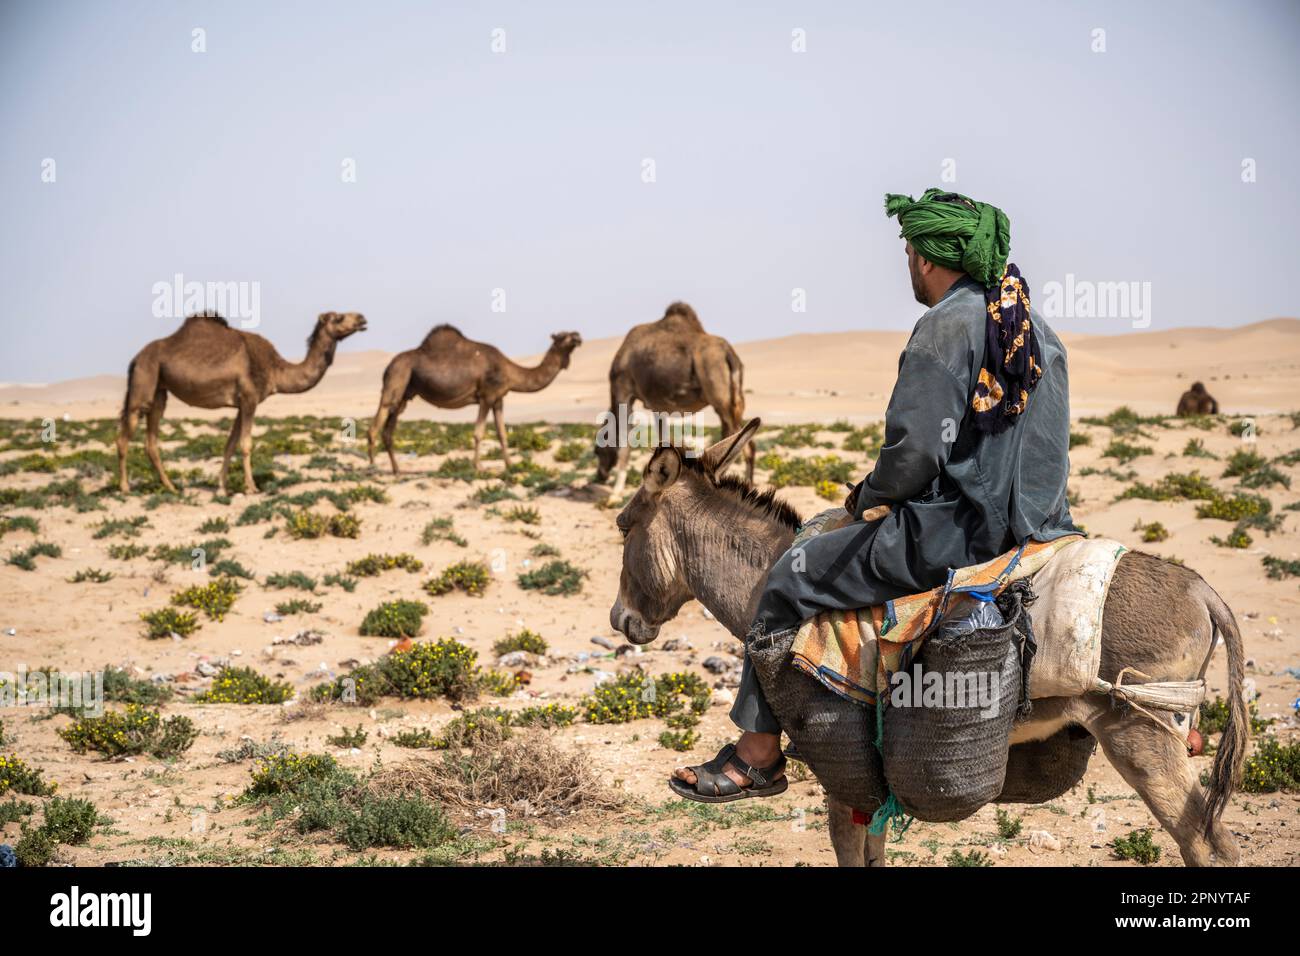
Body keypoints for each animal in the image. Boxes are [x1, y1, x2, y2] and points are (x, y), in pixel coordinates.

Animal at [116, 312, 366, 496]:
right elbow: (246, 445)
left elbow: (230, 444)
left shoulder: (240, 404)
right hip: (144, 383)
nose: (362, 318)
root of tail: (135, 359)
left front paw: (221, 488)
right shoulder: (249, 399)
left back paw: (171, 487)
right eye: (339, 317)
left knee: (151, 442)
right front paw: (252, 487)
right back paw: (125, 488)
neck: (275, 370)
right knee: (124, 437)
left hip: (159, 390)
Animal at [371, 325, 585, 476]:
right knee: (376, 424)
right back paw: (372, 468)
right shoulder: (486, 396)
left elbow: (502, 434)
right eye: (563, 336)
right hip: (397, 377)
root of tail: (388, 367)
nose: (578, 336)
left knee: (388, 431)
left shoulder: (498, 399)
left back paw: (397, 470)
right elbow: (479, 433)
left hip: (404, 395)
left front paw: (510, 465)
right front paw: (479, 467)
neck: (509, 372)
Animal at [592, 303, 748, 502]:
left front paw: (615, 494)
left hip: (718, 393)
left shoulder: (622, 389)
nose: (600, 475)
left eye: (597, 450)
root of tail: (729, 354)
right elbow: (663, 439)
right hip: (734, 397)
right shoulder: (658, 407)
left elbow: (625, 443)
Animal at [608, 418, 1248, 868]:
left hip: (1142, 737)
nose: (620, 619)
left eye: (622, 525)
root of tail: (1200, 588)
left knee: (1209, 844)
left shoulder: (845, 780)